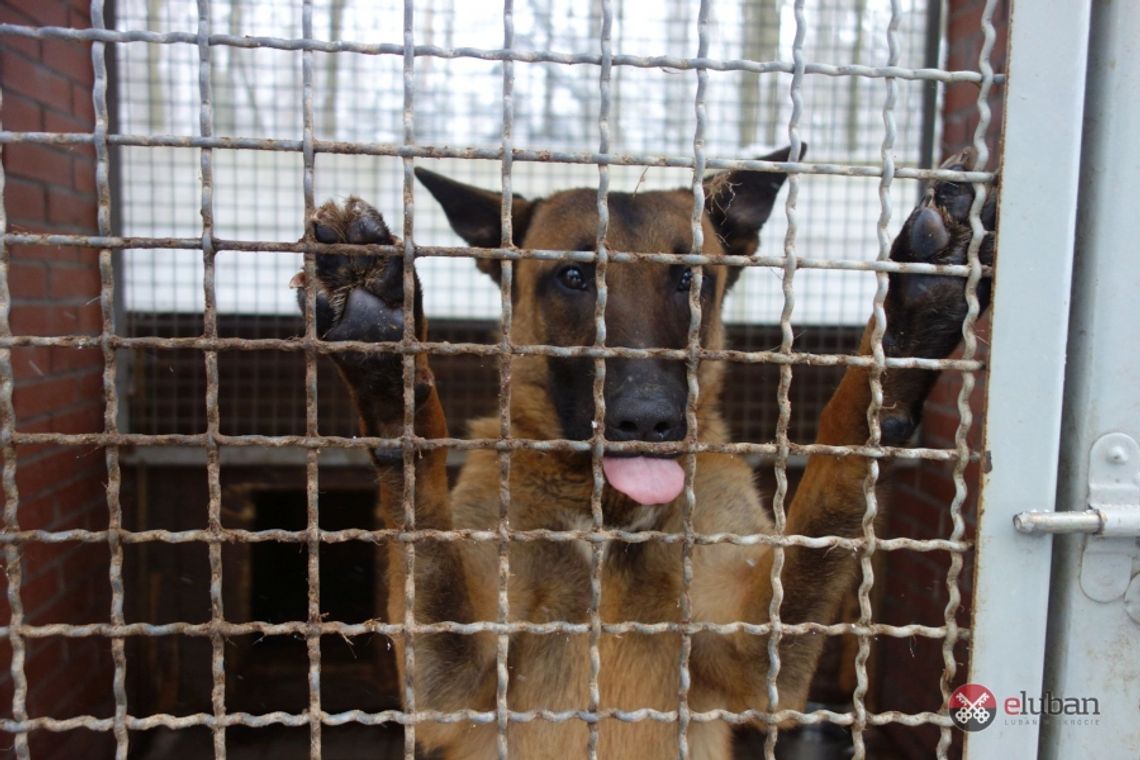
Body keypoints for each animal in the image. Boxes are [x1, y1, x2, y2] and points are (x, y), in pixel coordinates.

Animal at [294, 145, 998, 756]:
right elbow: (422, 507)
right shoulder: (449, 688)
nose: (648, 419)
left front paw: (910, 319)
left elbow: (840, 464)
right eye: (574, 276)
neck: (613, 519)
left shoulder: (762, 661)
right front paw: (387, 356)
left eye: (687, 278)